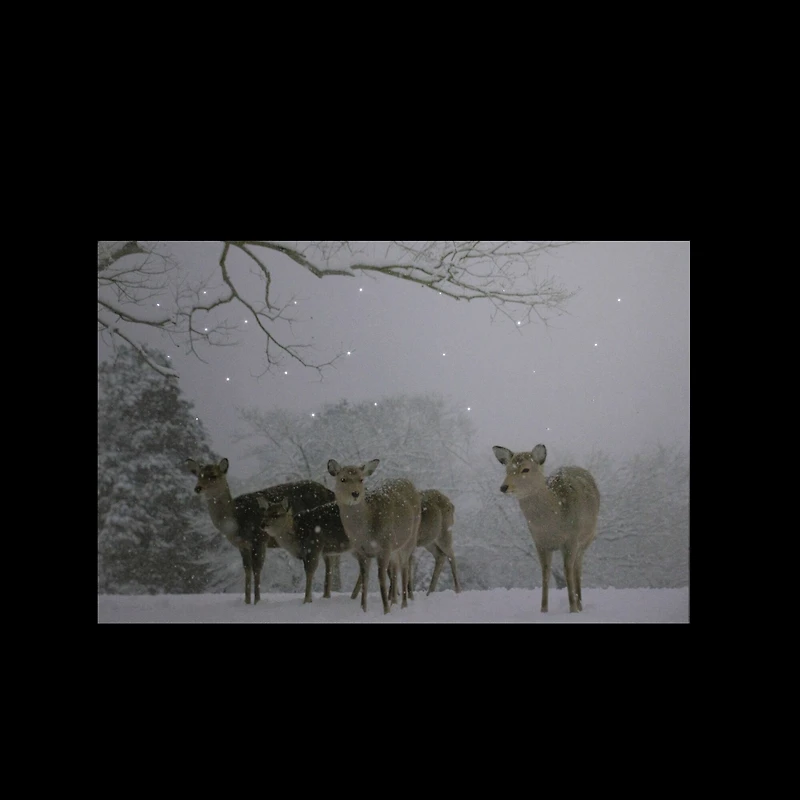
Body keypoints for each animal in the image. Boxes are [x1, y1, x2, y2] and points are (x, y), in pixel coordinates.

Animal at [185, 457, 337, 605]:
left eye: (213, 475)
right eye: (198, 475)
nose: (198, 488)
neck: (236, 523)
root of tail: (331, 493)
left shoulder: (259, 538)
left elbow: (257, 568)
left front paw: (257, 601)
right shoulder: (242, 545)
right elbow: (247, 569)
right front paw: (246, 601)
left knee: (329, 559)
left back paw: (325, 595)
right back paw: (325, 595)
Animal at [327, 458, 421, 614]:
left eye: (361, 479)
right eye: (343, 479)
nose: (355, 493)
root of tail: (409, 482)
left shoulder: (384, 546)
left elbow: (381, 578)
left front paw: (386, 611)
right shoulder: (361, 551)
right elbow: (365, 578)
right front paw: (363, 609)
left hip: (410, 538)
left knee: (405, 568)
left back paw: (403, 604)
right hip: (395, 548)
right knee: (395, 568)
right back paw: (394, 601)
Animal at [493, 444, 600, 613]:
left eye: (526, 469)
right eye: (507, 469)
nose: (504, 487)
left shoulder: (571, 539)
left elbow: (567, 571)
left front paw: (573, 609)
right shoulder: (539, 542)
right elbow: (545, 572)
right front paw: (543, 609)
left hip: (587, 539)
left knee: (577, 568)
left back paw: (580, 604)